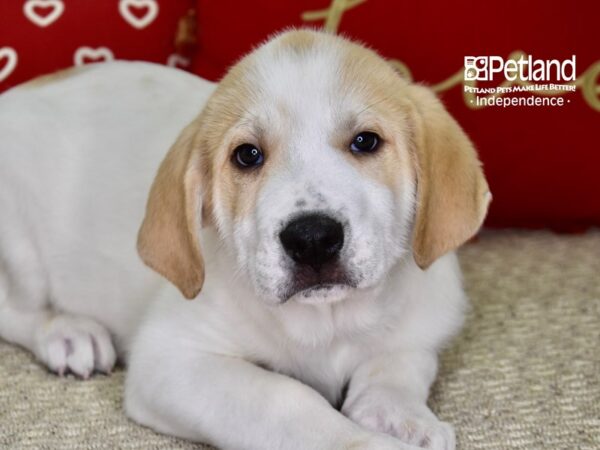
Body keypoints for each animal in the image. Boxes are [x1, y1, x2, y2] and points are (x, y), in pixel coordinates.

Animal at [0, 29, 488, 448]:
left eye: (366, 142)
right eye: (247, 155)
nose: (312, 238)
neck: (330, 321)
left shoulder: (420, 331)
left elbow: (396, 368)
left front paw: (403, 418)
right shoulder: (171, 359)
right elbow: (287, 399)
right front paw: (368, 442)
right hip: (19, 247)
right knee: (14, 310)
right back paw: (68, 333)